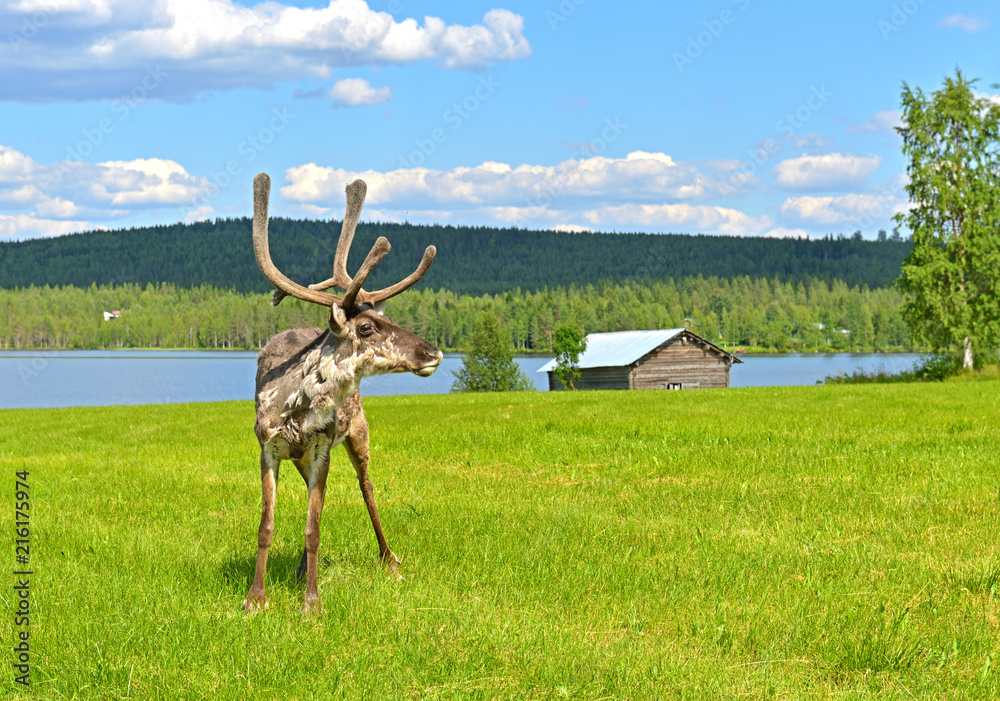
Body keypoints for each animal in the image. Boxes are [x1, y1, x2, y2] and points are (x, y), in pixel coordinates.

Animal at [244, 172, 442, 615]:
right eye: (366, 328)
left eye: (389, 318)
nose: (433, 351)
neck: (294, 409)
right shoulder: (268, 447)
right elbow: (267, 525)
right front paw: (255, 599)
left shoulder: (322, 447)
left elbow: (313, 527)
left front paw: (311, 603)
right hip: (306, 456)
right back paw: (301, 570)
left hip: (356, 434)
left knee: (367, 489)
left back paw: (390, 562)